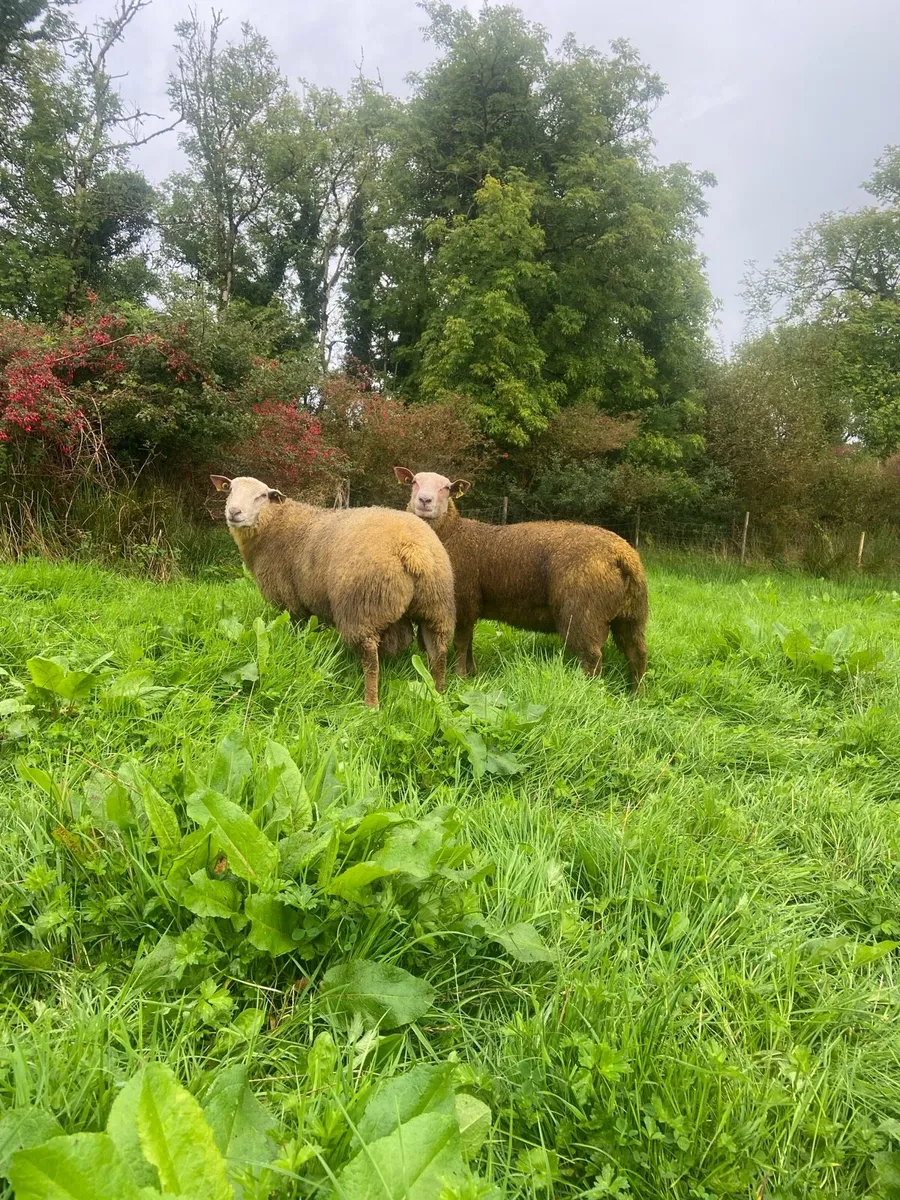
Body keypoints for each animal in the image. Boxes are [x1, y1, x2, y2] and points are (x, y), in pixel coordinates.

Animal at [211, 475, 456, 708]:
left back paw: (371, 704)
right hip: (436, 606)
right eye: (230, 490)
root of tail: (413, 550)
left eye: (261, 496)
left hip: (361, 608)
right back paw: (438, 693)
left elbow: (299, 633)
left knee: (371, 661)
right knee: (438, 653)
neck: (273, 526)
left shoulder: (292, 603)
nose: (234, 512)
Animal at [393, 467, 648, 691]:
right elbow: (469, 642)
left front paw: (460, 675)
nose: (424, 501)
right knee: (637, 654)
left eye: (446, 488)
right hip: (632, 614)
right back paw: (636, 695)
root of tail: (622, 554)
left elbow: (461, 643)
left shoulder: (464, 601)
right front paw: (472, 672)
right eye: (414, 482)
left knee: (592, 659)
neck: (452, 533)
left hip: (582, 614)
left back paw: (589, 691)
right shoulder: (472, 606)